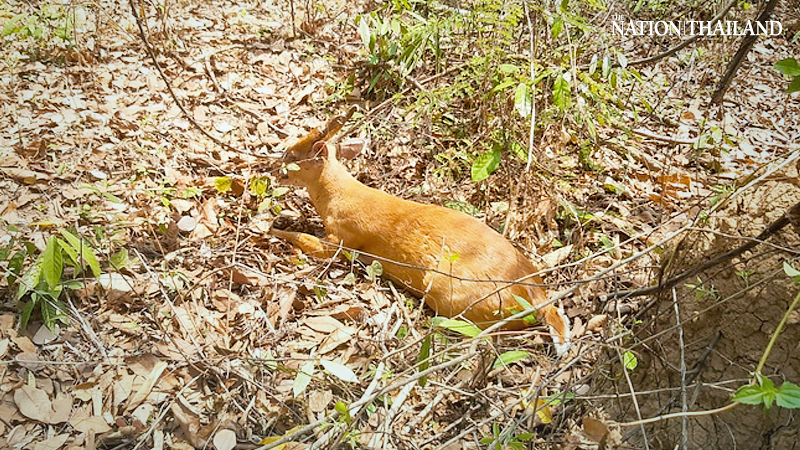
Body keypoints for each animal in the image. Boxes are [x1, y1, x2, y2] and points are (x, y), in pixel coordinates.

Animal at [270, 109, 570, 355]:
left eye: (294, 155)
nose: (274, 169)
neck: (337, 198)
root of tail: (534, 289)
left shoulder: (343, 239)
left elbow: (307, 240)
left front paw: (272, 228)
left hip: (449, 291)